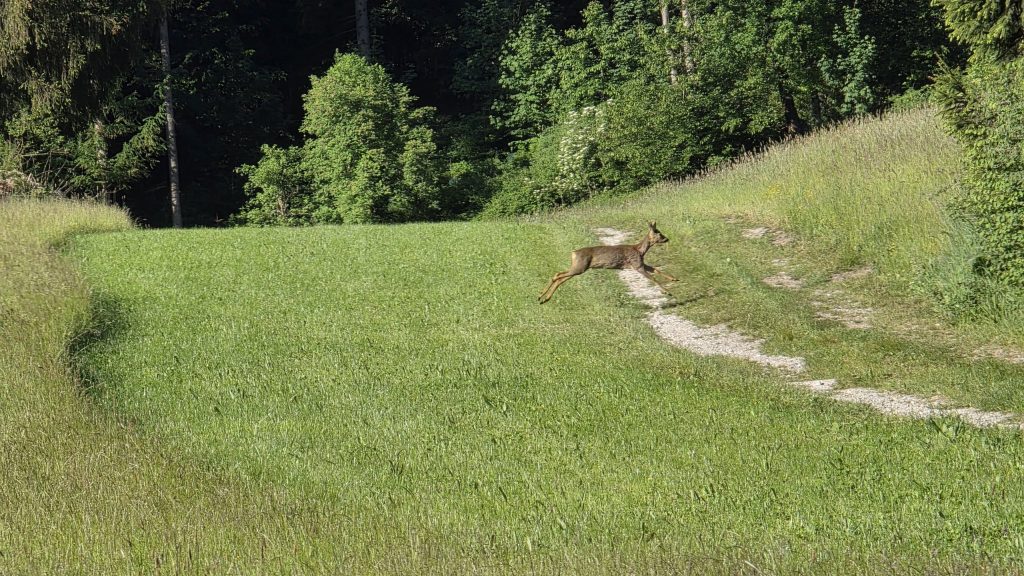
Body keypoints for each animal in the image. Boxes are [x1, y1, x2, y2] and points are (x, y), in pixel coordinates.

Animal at [538, 221, 677, 304]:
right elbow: (653, 278)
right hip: (580, 267)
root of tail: (573, 253)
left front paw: (674, 279)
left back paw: (541, 297)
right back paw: (543, 297)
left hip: (578, 267)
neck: (639, 250)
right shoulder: (636, 264)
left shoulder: (640, 263)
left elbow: (656, 269)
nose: (667, 238)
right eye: (659, 233)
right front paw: (668, 291)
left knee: (559, 275)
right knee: (558, 276)